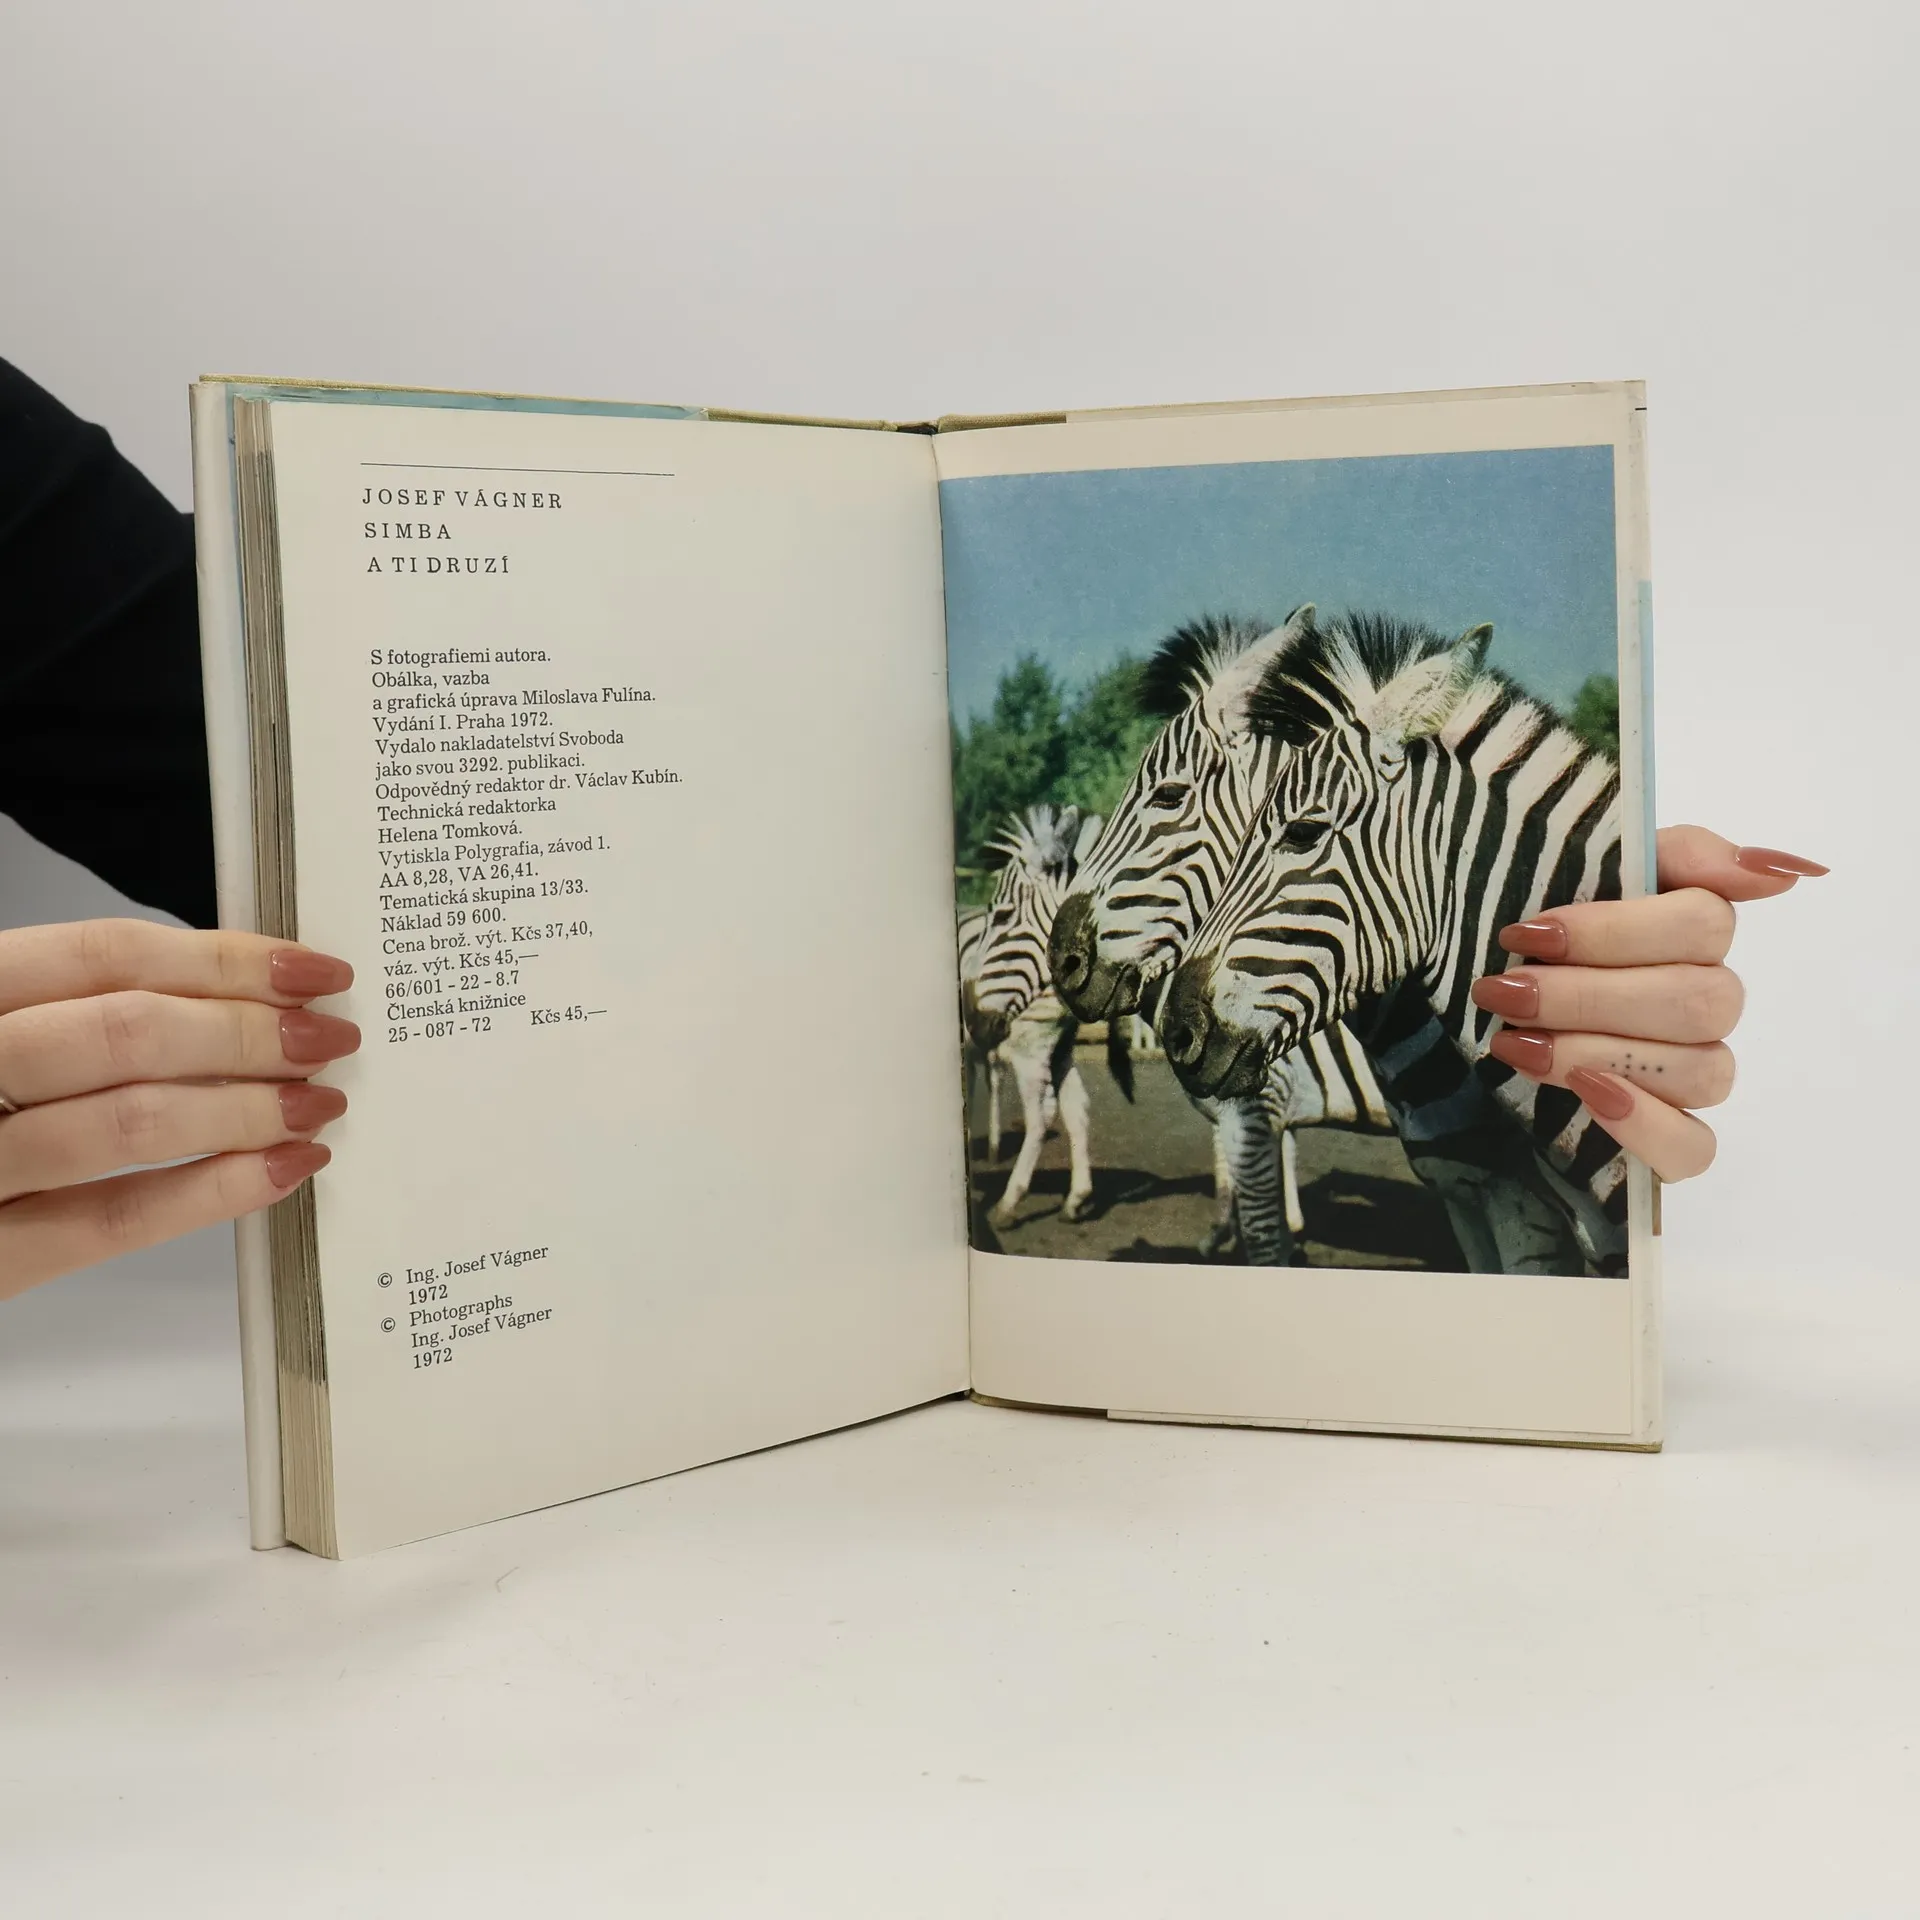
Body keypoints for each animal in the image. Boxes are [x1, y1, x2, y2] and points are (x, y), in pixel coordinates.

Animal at [963, 805, 1111, 1227]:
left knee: (1042, 1115)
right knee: (1075, 1107)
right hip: (1057, 1044)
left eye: (1002, 915)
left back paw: (1009, 1202)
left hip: (1031, 1043)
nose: (970, 1015)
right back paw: (1076, 1198)